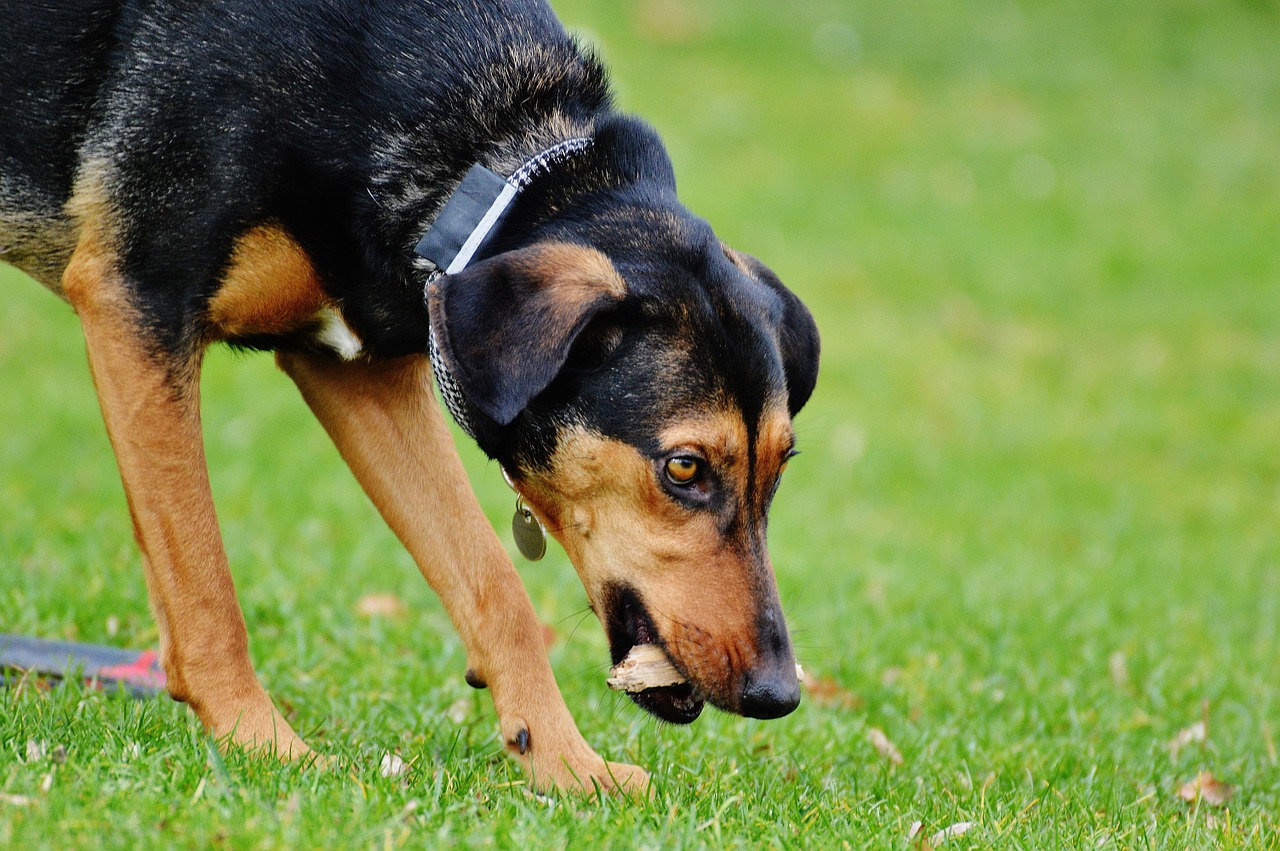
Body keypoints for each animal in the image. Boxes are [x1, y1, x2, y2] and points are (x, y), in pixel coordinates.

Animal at [0, 1, 819, 798]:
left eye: (783, 466)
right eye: (683, 468)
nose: (780, 694)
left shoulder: (355, 371)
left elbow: (495, 582)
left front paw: (564, 762)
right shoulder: (137, 301)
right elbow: (203, 582)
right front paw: (264, 746)